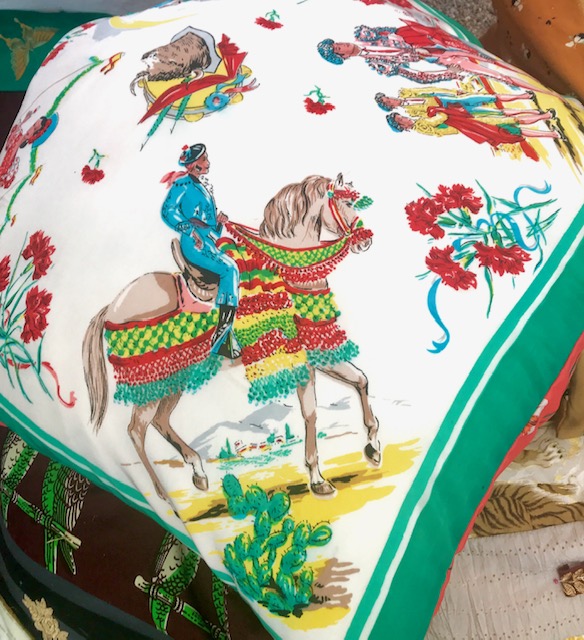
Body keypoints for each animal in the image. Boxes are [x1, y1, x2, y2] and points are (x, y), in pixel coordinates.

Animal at [82, 173, 380, 502]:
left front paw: (373, 447)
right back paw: (164, 495)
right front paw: (317, 479)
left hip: (173, 379)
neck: (288, 271)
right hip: (150, 383)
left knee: (159, 422)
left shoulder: (317, 350)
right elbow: (311, 413)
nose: (365, 239)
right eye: (345, 202)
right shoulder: (300, 359)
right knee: (136, 430)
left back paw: (198, 472)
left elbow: (361, 380)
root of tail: (112, 306)